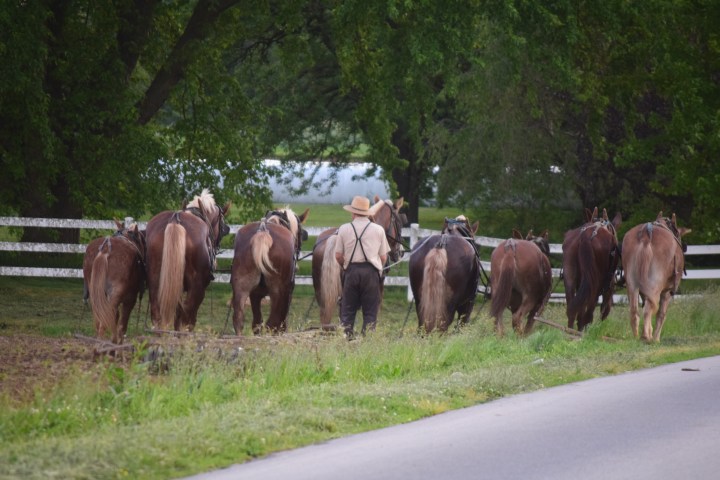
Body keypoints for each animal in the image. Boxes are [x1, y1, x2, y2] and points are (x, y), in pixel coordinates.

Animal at [144, 189, 231, 331]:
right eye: (222, 224)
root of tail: (175, 220)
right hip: (196, 287)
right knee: (187, 317)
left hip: (155, 279)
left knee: (158, 316)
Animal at [621, 212, 691, 342]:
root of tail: (646, 234)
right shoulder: (667, 291)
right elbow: (661, 314)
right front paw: (656, 338)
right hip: (656, 286)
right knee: (649, 309)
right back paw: (646, 337)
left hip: (631, 284)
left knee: (634, 311)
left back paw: (637, 337)